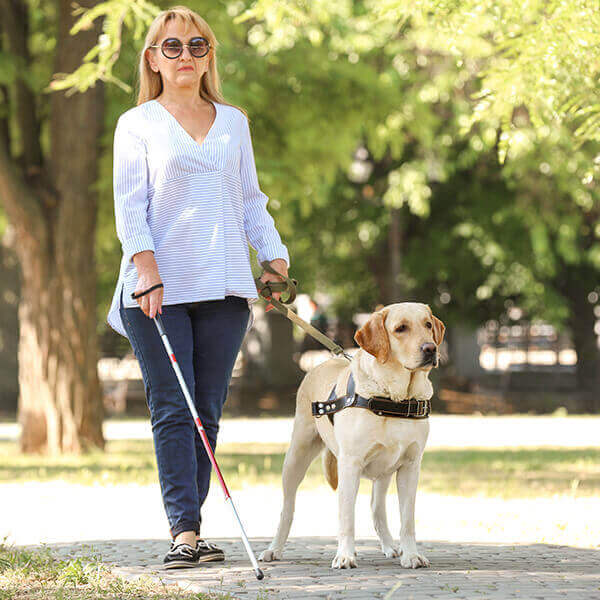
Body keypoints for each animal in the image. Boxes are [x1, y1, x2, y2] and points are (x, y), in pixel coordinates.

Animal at [258, 302, 446, 568]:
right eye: (401, 328)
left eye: (428, 325)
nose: (430, 348)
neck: (393, 399)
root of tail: (323, 363)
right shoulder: (350, 464)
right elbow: (346, 517)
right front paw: (345, 555)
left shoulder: (410, 466)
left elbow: (407, 519)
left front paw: (411, 554)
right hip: (296, 457)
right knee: (287, 509)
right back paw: (274, 549)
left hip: (384, 471)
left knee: (376, 508)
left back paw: (390, 547)